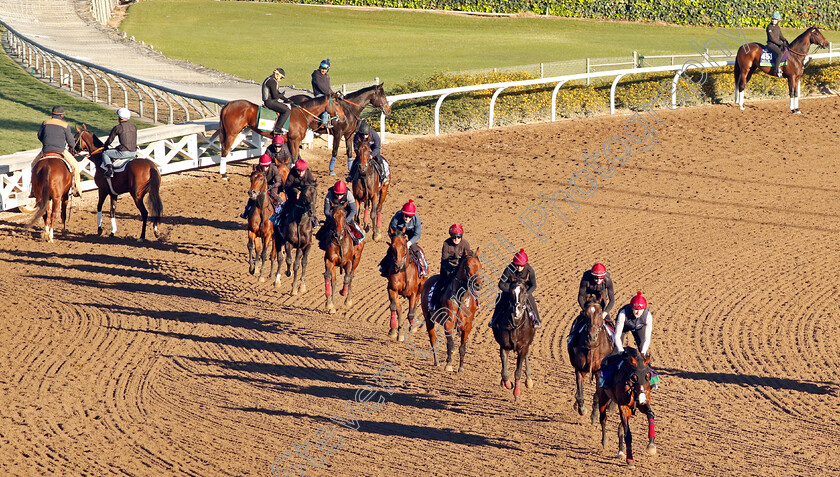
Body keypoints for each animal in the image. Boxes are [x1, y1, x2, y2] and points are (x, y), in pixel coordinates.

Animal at [220, 94, 348, 159]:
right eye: (337, 104)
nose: (343, 117)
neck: (301, 114)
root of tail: (228, 105)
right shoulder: (294, 140)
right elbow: (295, 157)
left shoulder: (291, 141)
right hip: (231, 133)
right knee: (225, 151)